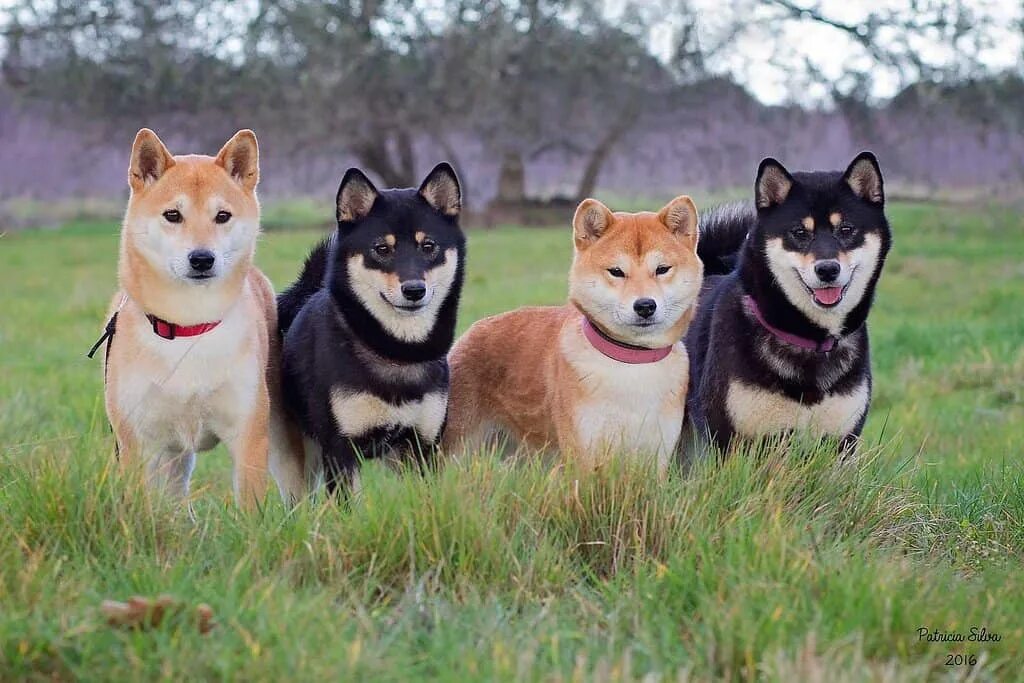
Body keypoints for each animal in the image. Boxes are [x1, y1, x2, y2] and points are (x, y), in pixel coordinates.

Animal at [97, 127, 292, 507]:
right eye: (173, 215)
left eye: (223, 216)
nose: (202, 258)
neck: (188, 326)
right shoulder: (135, 442)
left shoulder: (249, 436)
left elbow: (251, 509)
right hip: (171, 456)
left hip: (280, 434)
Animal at [274, 162, 462, 493]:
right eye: (382, 249)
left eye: (428, 246)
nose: (414, 290)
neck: (397, 352)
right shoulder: (340, 449)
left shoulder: (423, 445)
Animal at [446, 197, 704, 473]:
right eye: (616, 271)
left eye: (662, 269)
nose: (645, 306)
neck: (631, 360)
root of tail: (469, 332)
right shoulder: (583, 455)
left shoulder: (656, 457)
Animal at [684, 152, 892, 456]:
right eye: (799, 232)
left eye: (846, 229)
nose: (827, 269)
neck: (808, 339)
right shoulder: (730, 441)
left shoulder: (840, 442)